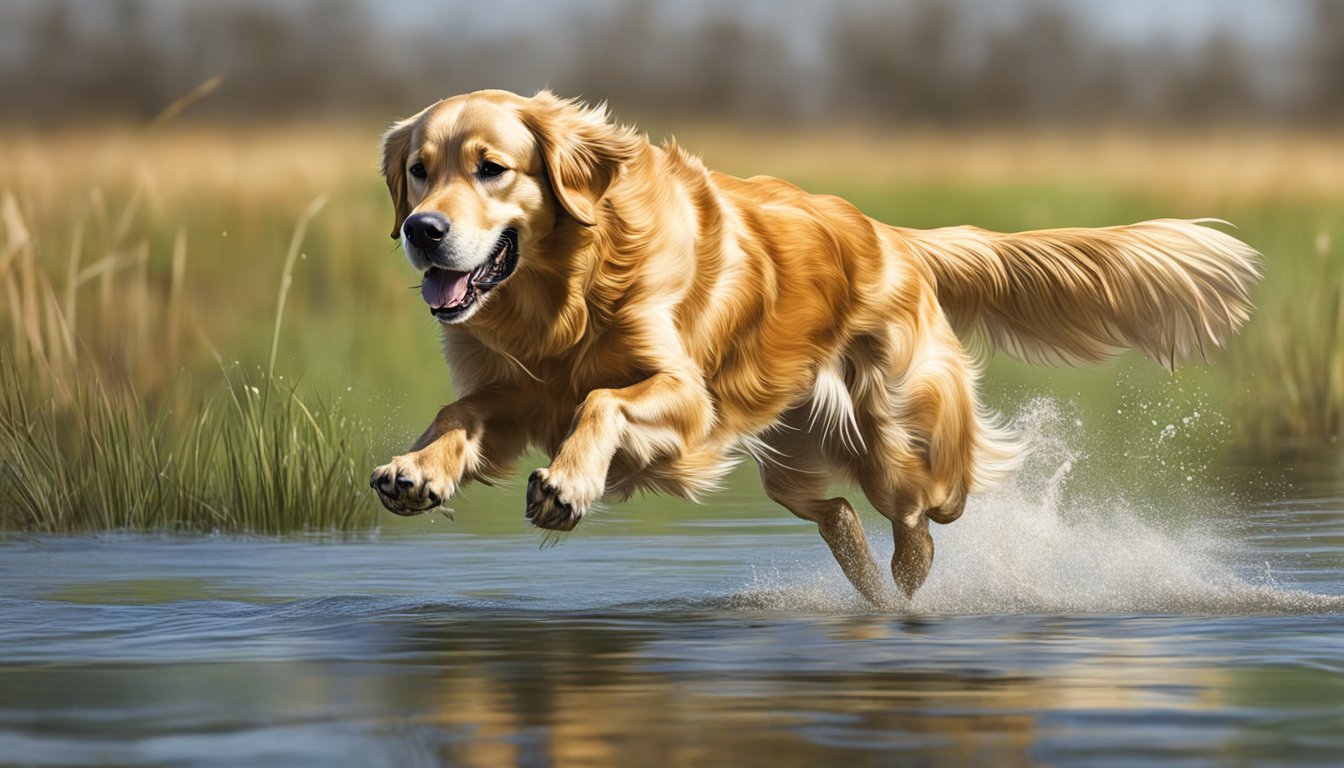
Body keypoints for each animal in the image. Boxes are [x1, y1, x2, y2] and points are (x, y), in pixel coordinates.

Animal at [368, 90, 1257, 605]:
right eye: (419, 171)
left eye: (492, 168)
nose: (422, 231)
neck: (567, 289)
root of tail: (894, 236)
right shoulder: (514, 392)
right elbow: (460, 411)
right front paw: (416, 471)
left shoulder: (688, 399)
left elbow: (602, 401)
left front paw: (565, 485)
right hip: (789, 453)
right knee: (835, 511)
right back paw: (873, 587)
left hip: (896, 441)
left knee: (931, 512)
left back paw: (910, 584)